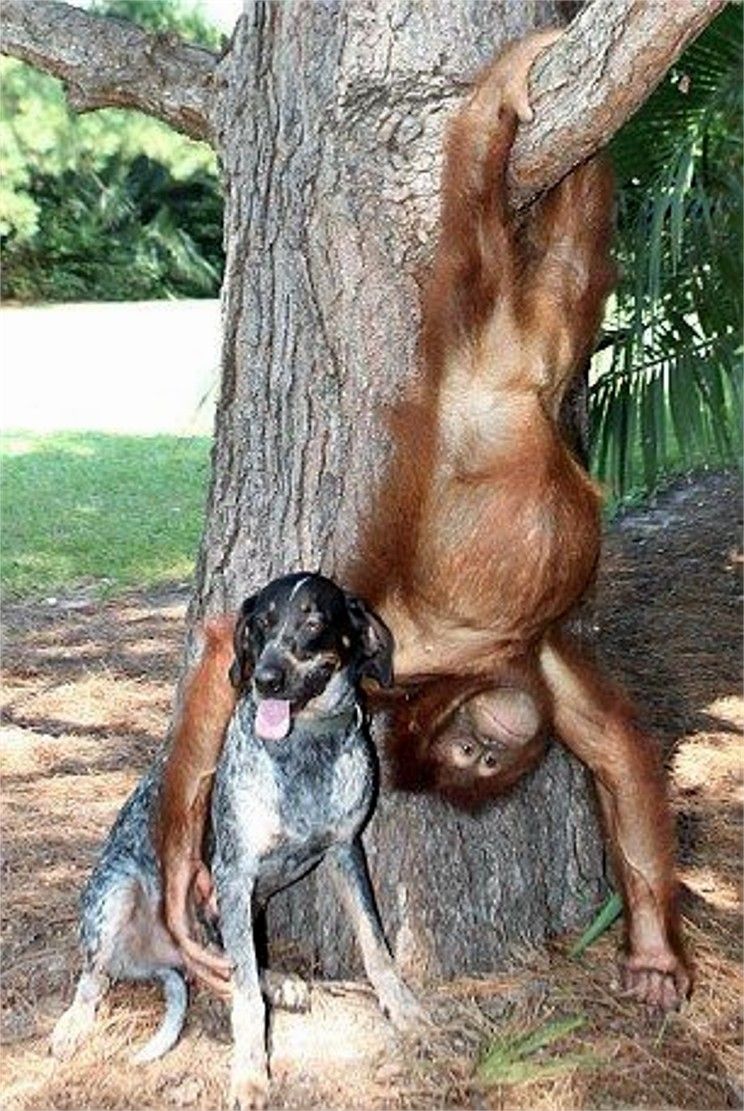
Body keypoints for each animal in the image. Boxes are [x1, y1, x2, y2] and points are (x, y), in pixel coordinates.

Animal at [157, 29, 690, 1012]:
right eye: (473, 754)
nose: (481, 758)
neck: (483, 666)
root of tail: (508, 372)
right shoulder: (481, 662)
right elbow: (613, 748)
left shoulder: (469, 657)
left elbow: (618, 754)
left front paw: (654, 954)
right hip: (514, 338)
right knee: (545, 242)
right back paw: (531, 95)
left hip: (493, 336)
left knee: (500, 224)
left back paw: (525, 91)